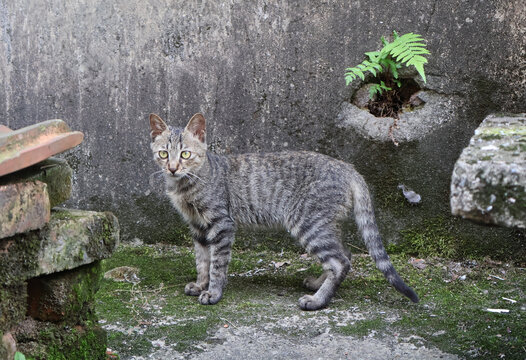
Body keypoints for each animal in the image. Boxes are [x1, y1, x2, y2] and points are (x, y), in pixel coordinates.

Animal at [150, 112, 420, 310]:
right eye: (163, 153)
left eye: (185, 154)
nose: (172, 168)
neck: (185, 186)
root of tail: (348, 167)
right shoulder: (197, 227)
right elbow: (202, 261)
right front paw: (200, 285)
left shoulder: (221, 224)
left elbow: (217, 264)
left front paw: (213, 292)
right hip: (325, 224)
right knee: (345, 255)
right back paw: (317, 284)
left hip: (309, 223)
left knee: (340, 261)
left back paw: (318, 301)